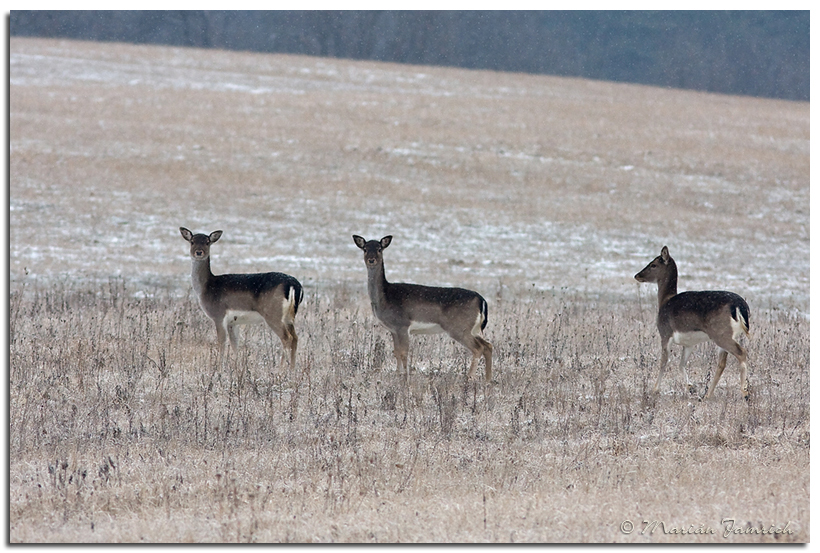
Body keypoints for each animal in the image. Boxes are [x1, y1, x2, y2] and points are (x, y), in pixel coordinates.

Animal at [179, 226, 304, 374]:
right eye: (192, 241)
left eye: (207, 242)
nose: (199, 252)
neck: (207, 288)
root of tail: (294, 285)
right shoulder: (233, 322)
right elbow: (235, 345)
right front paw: (237, 367)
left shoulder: (218, 315)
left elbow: (222, 342)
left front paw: (219, 369)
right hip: (289, 317)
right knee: (295, 338)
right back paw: (293, 369)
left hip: (273, 314)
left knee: (286, 338)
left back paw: (280, 369)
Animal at [352, 235, 494, 382]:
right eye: (365, 249)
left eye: (379, 249)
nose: (371, 259)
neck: (385, 297)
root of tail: (481, 300)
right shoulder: (393, 329)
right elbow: (396, 352)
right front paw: (398, 375)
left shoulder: (402, 324)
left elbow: (403, 352)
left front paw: (405, 378)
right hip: (473, 329)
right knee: (488, 345)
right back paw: (487, 379)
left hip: (459, 327)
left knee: (478, 348)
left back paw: (469, 378)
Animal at [636, 248, 748, 398]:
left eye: (653, 264)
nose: (637, 275)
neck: (665, 301)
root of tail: (740, 307)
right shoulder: (689, 343)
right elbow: (681, 364)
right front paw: (690, 387)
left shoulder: (665, 333)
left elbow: (664, 361)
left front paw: (654, 389)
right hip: (727, 335)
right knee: (722, 363)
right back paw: (708, 394)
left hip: (721, 333)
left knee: (742, 352)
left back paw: (744, 391)